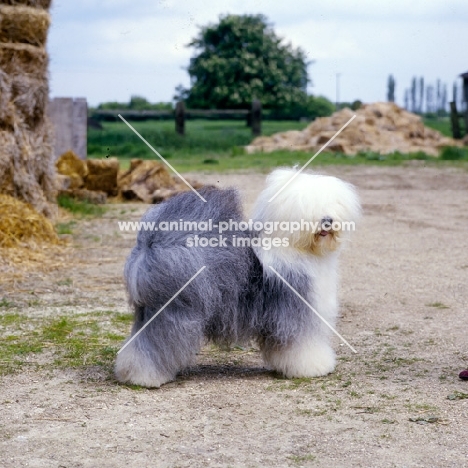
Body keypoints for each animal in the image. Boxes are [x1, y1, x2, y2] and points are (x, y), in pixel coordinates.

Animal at [115, 168, 360, 388]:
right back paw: (145, 378)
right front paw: (313, 367)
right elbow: (303, 344)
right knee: (156, 344)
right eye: (306, 206)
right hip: (173, 312)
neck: (297, 248)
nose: (327, 220)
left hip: (149, 310)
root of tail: (153, 243)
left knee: (139, 343)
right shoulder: (297, 313)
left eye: (333, 203)